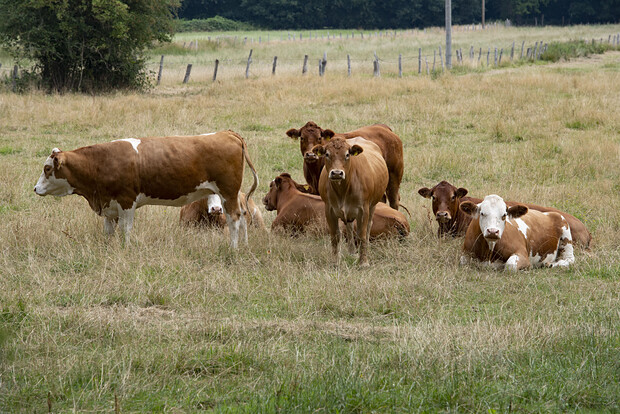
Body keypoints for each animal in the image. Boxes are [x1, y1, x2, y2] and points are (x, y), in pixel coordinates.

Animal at [34, 131, 258, 247]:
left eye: (47, 168)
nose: (35, 188)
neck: (100, 162)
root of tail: (227, 133)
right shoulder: (109, 205)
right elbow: (108, 231)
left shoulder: (126, 201)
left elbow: (125, 230)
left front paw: (125, 249)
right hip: (232, 195)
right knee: (242, 215)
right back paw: (245, 245)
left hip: (227, 193)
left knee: (234, 218)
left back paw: (233, 248)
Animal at [314, 136, 388, 266]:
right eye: (327, 154)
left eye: (347, 154)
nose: (337, 173)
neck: (343, 190)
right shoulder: (329, 210)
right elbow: (335, 236)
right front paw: (335, 261)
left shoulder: (363, 210)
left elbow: (361, 235)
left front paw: (363, 262)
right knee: (348, 226)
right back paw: (352, 251)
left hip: (373, 205)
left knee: (368, 226)